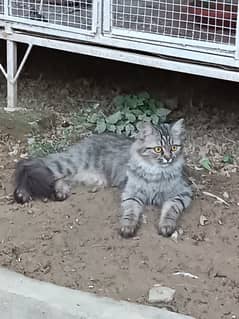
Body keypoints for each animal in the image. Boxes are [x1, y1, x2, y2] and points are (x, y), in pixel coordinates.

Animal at [13, 119, 192, 238]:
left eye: (174, 147)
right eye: (158, 149)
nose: (168, 158)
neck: (156, 174)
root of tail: (86, 139)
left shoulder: (182, 193)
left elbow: (170, 211)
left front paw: (166, 226)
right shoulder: (131, 193)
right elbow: (131, 212)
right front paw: (128, 227)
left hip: (86, 176)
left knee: (56, 178)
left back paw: (60, 192)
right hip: (67, 164)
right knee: (31, 164)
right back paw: (22, 194)